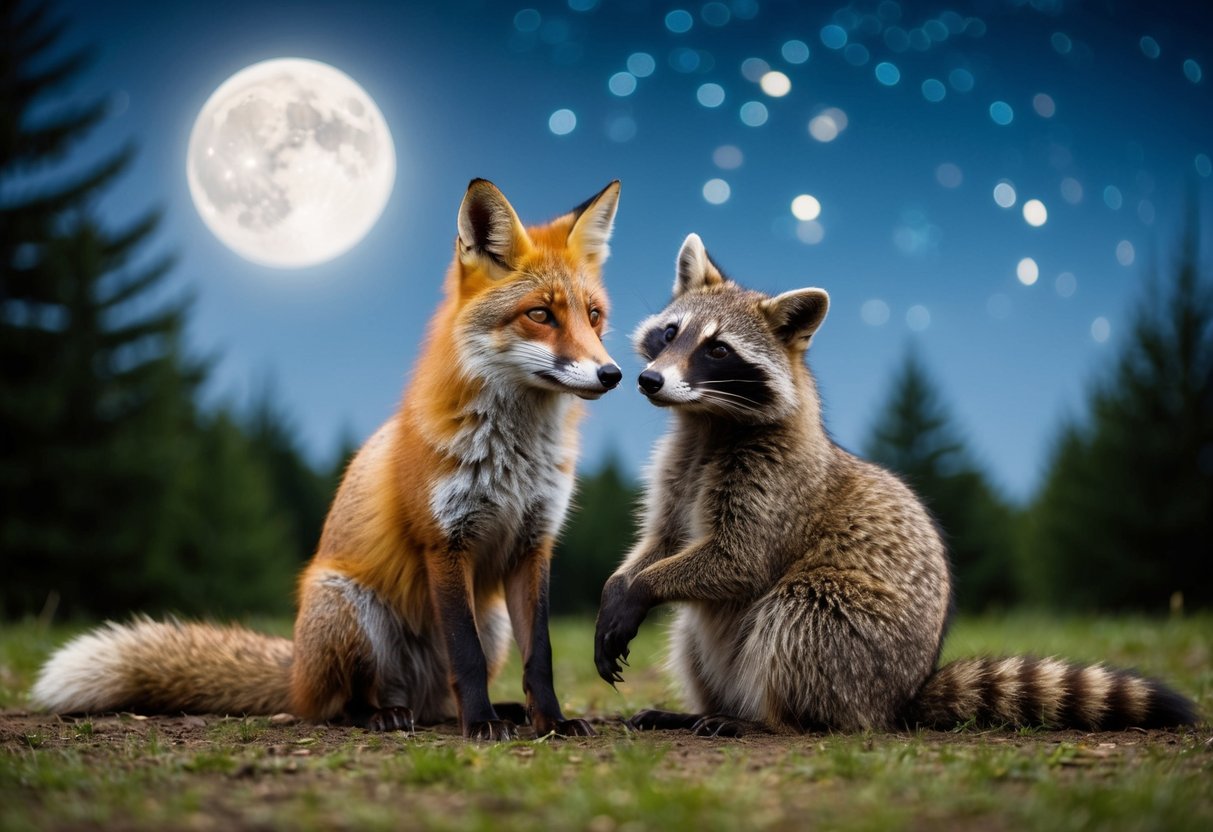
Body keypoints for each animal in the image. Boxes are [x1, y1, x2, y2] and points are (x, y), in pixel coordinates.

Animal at [33, 178, 624, 740]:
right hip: (347, 610)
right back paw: (386, 715)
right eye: (540, 314)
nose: (612, 374)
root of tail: (296, 673)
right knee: (341, 706)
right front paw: (480, 725)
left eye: (594, 316)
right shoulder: (445, 541)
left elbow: (540, 657)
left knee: (434, 701)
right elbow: (467, 657)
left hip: (492, 618)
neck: (515, 458)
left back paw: (488, 711)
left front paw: (551, 722)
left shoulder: (533, 545)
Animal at [594, 232, 1198, 737]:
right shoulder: (679, 467)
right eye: (671, 333)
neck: (706, 421)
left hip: (859, 646)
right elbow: (662, 540)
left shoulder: (775, 478)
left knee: (801, 614)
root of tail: (899, 699)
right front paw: (621, 584)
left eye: (717, 350)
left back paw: (772, 719)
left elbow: (739, 559)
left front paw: (642, 587)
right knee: (690, 633)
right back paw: (703, 708)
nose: (649, 381)